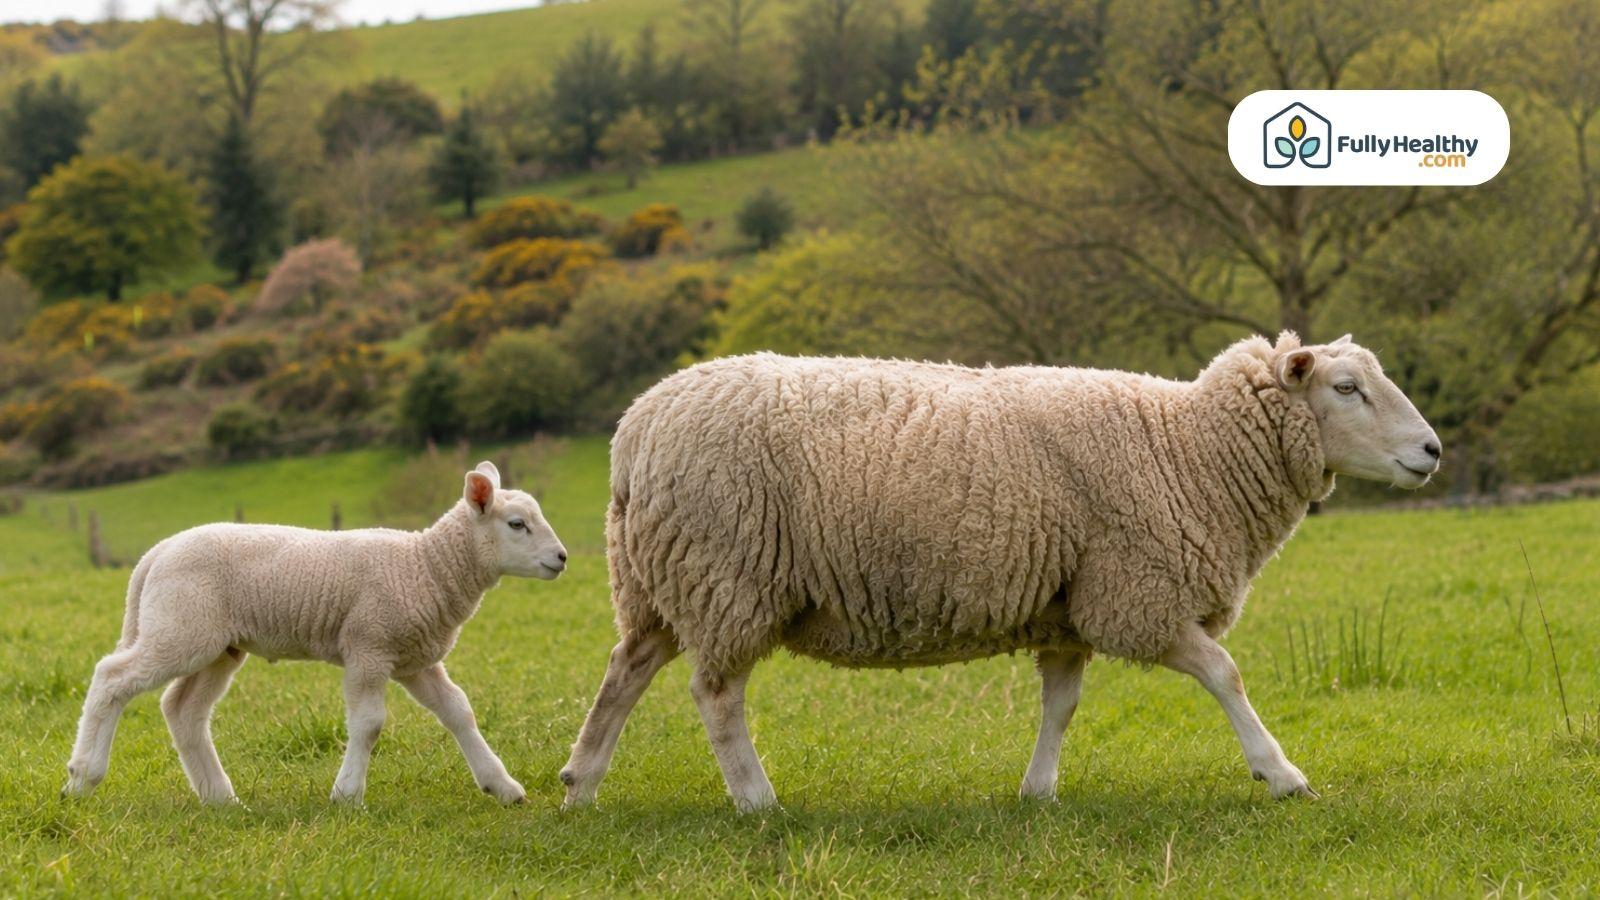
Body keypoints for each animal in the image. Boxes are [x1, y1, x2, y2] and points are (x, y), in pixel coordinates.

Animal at [63, 461, 567, 806]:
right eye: (517, 524)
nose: (562, 557)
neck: (425, 566)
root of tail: (156, 553)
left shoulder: (413, 658)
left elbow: (459, 711)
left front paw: (502, 786)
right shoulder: (369, 645)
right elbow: (369, 723)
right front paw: (347, 795)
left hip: (217, 645)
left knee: (182, 710)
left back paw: (220, 797)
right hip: (181, 629)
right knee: (112, 678)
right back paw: (82, 777)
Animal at [561, 332, 1442, 811]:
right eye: (1347, 387)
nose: (1432, 450)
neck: (1188, 448)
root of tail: (633, 433)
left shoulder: (1073, 605)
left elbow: (1062, 704)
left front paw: (1038, 790)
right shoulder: (1137, 595)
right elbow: (1225, 674)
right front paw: (1280, 773)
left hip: (657, 581)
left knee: (624, 669)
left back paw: (581, 783)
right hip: (727, 575)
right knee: (716, 697)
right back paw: (755, 798)